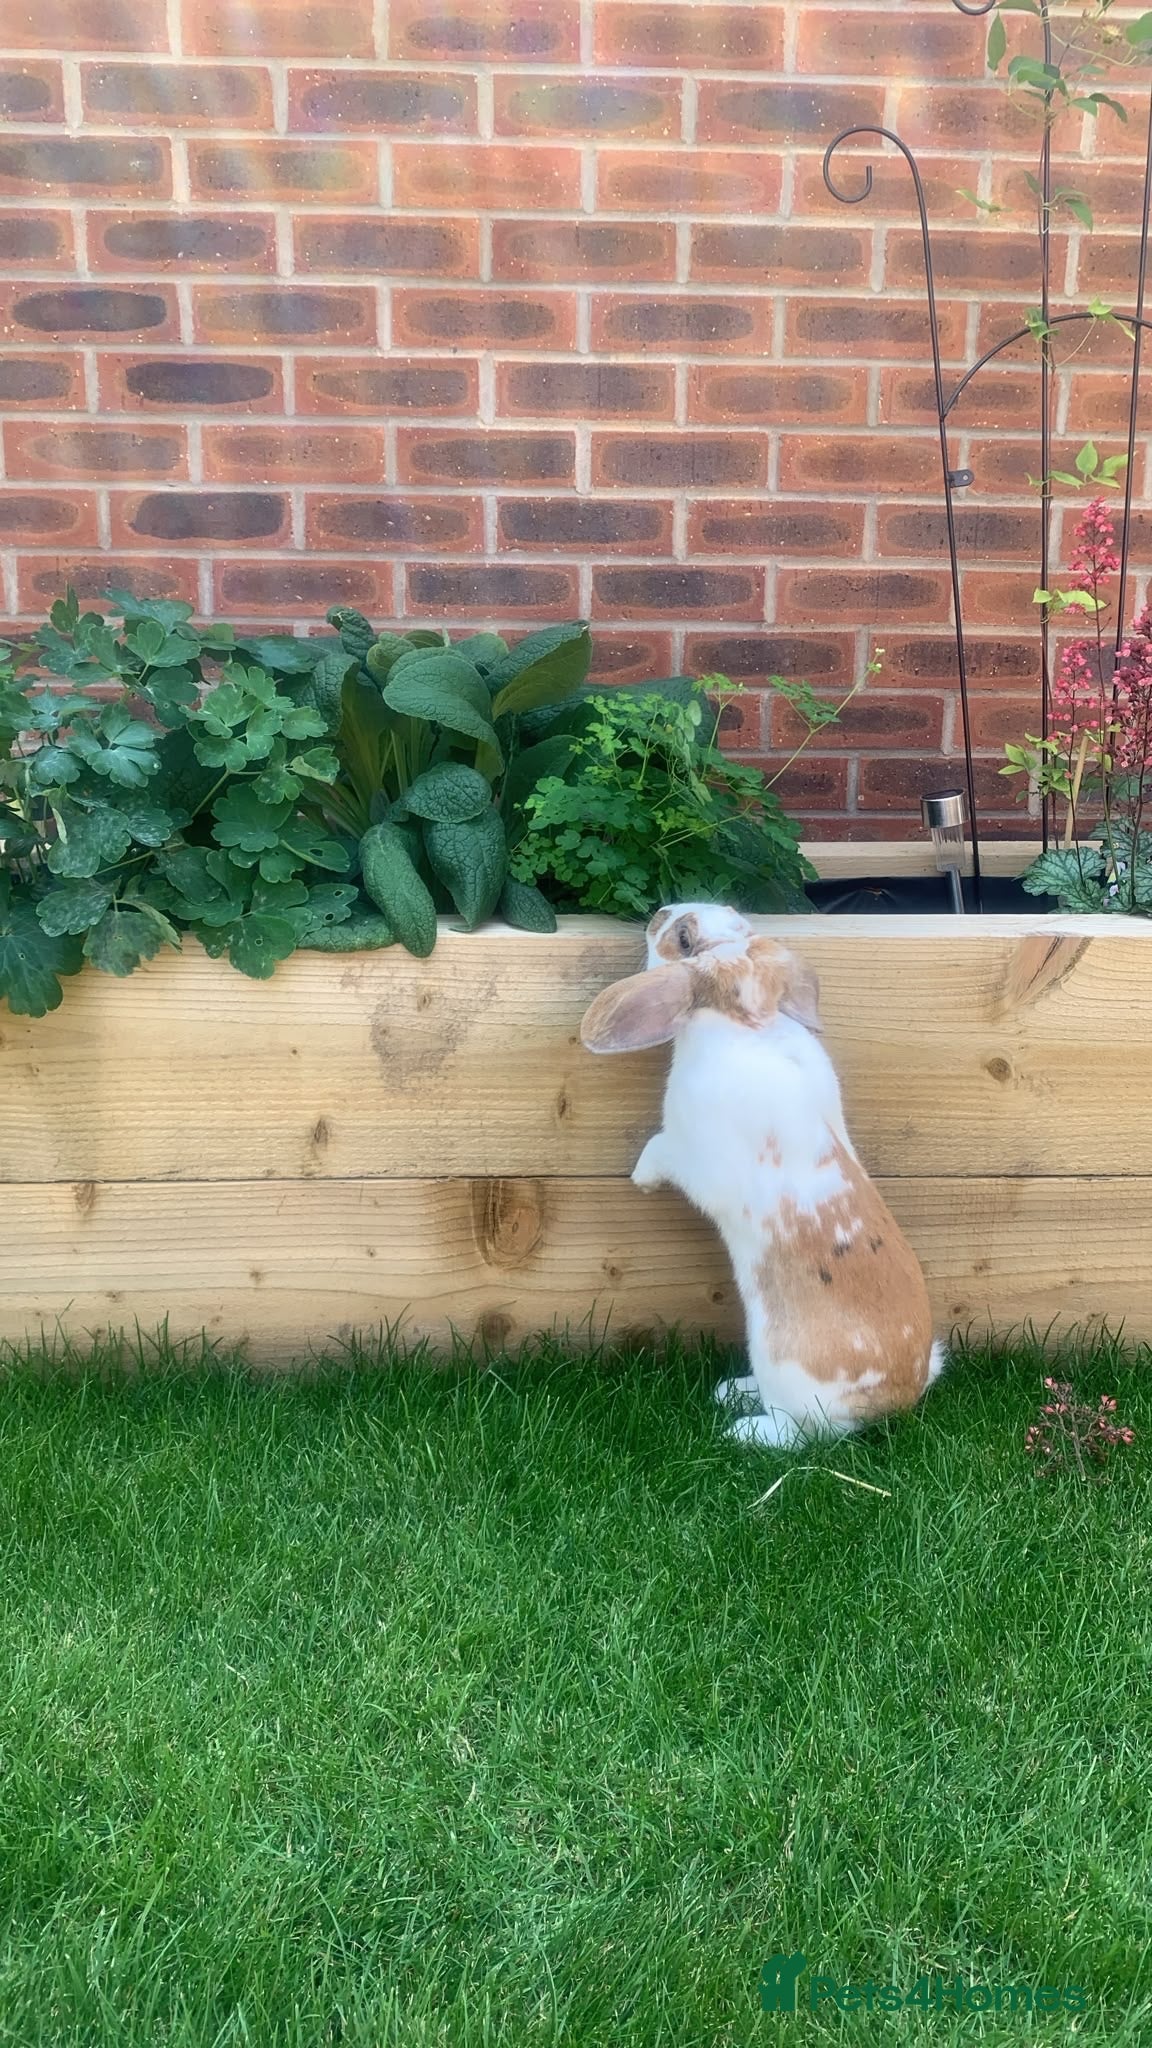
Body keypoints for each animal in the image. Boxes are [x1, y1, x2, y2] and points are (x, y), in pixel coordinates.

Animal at [580, 903, 945, 1449]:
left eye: (683, 938)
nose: (658, 913)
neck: (747, 1024)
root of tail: (896, 1398)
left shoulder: (691, 1153)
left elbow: (657, 1149)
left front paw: (641, 1180)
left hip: (783, 1371)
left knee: (798, 1434)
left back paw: (741, 1427)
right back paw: (734, 1390)